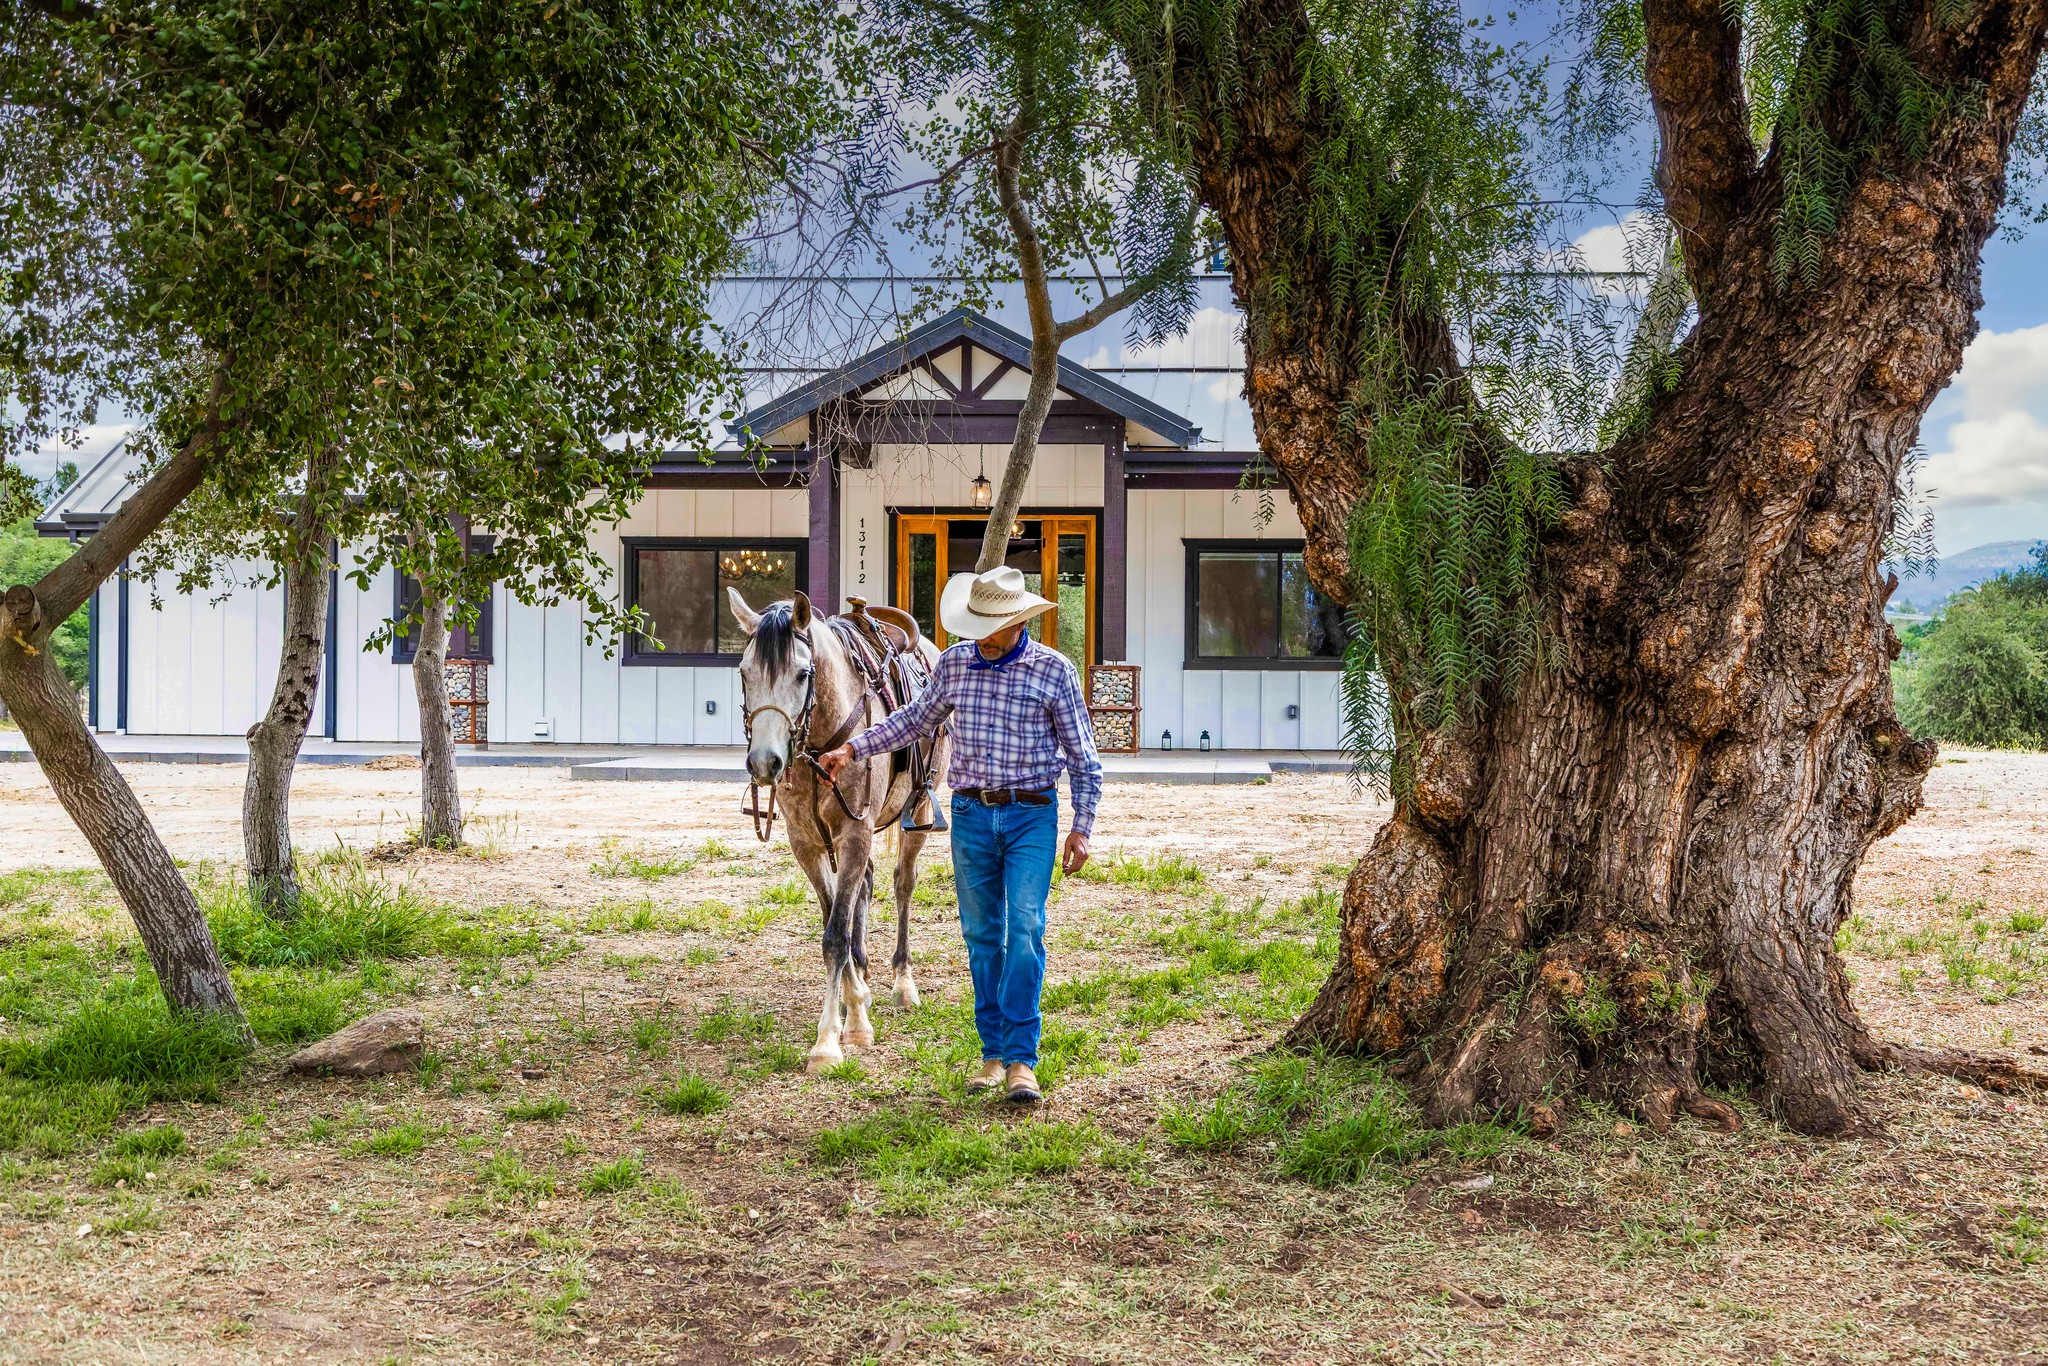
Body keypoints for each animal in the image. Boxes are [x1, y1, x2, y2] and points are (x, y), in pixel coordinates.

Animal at [727, 588, 951, 1071]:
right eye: (744, 673)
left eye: (802, 674)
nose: (765, 762)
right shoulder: (806, 844)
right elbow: (836, 922)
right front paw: (855, 1009)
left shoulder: (855, 834)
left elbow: (835, 936)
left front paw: (829, 1042)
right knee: (864, 890)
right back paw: (862, 980)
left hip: (918, 810)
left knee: (903, 883)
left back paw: (903, 983)